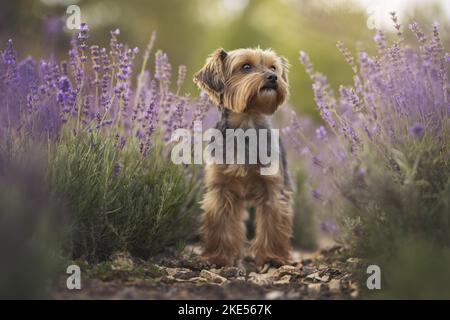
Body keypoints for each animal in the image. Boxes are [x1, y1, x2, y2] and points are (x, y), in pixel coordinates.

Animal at [194, 47, 296, 266]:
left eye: (273, 67)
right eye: (246, 66)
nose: (273, 77)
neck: (247, 121)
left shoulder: (273, 188)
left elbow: (273, 221)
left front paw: (272, 256)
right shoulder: (221, 188)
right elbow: (220, 222)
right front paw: (218, 256)